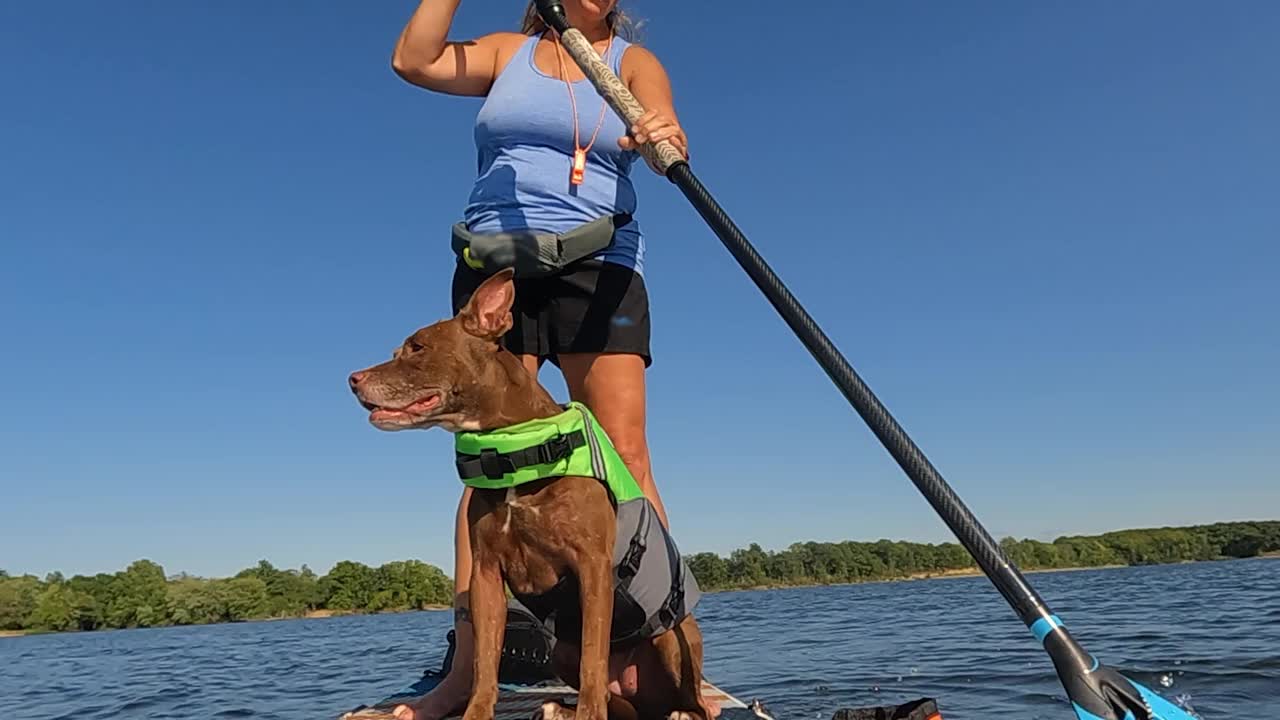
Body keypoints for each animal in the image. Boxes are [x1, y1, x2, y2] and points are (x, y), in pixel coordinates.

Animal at [350, 269, 711, 717]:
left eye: (417, 347)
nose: (352, 379)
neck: (512, 452)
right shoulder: (486, 574)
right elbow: (484, 663)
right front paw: (476, 711)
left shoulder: (592, 566)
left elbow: (594, 657)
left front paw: (588, 715)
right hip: (561, 652)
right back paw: (561, 707)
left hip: (673, 636)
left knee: (691, 698)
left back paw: (677, 709)